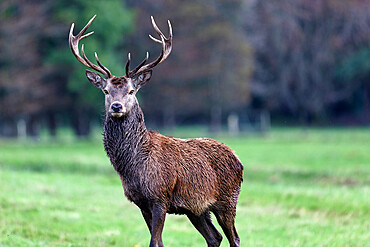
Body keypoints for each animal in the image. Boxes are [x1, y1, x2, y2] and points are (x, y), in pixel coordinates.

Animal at [68, 15, 243, 247]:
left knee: (235, 238)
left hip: (228, 198)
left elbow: (155, 241)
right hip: (196, 209)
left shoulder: (160, 197)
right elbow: (156, 240)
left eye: (131, 91)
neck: (134, 167)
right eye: (106, 91)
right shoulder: (141, 203)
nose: (116, 106)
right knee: (215, 237)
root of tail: (238, 159)